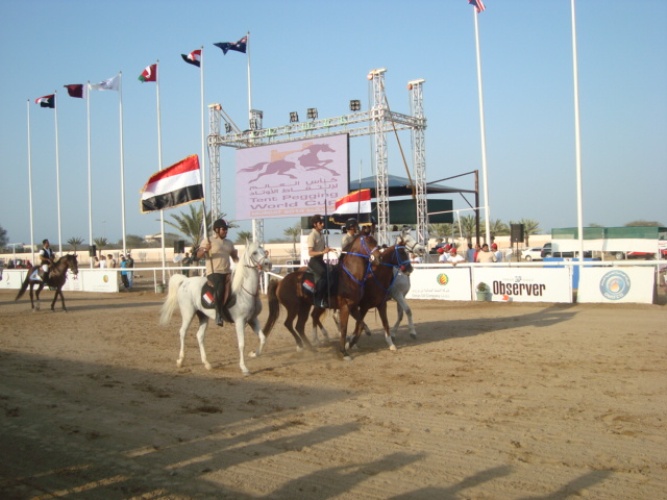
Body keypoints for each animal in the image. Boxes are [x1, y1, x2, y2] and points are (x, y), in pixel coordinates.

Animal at [160, 242, 272, 376]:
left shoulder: (252, 319)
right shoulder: (240, 321)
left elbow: (263, 338)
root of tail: (185, 281)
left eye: (264, 251)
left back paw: (207, 363)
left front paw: (254, 354)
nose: (268, 264)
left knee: (200, 336)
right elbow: (241, 344)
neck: (244, 290)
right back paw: (180, 361)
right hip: (188, 313)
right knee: (182, 332)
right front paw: (244, 368)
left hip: (203, 316)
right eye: (254, 252)